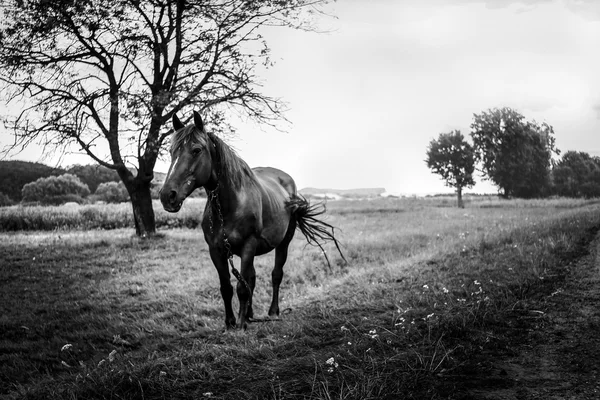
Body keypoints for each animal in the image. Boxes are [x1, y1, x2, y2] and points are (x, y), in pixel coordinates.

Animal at [159, 111, 344, 330]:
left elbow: (241, 287)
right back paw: (250, 314)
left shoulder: (248, 245)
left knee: (276, 275)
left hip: (283, 242)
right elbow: (227, 287)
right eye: (171, 151)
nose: (167, 196)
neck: (230, 206)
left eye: (196, 150)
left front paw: (240, 324)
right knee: (252, 279)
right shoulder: (216, 250)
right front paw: (230, 322)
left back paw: (272, 312)